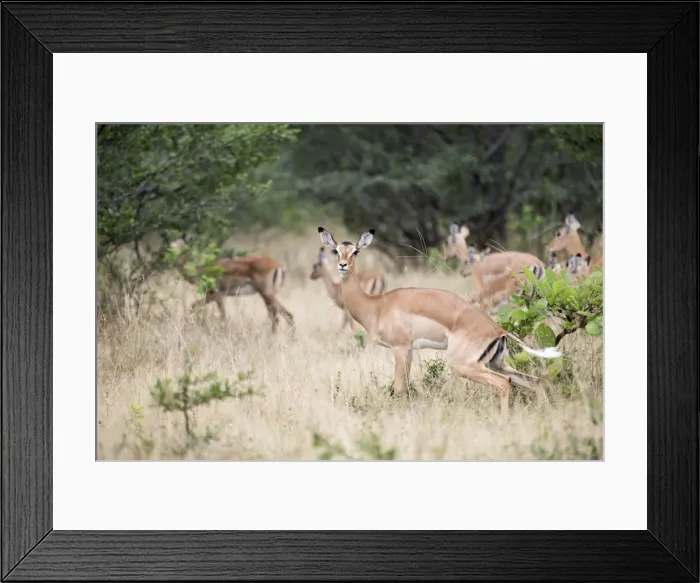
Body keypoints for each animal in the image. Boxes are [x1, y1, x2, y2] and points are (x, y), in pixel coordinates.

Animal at [318, 226, 561, 420]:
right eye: (336, 250)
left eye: (355, 251)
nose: (342, 265)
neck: (377, 305)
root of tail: (497, 329)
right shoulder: (409, 351)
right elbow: (405, 387)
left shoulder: (400, 348)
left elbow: (399, 389)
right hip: (496, 363)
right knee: (535, 381)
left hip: (464, 365)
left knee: (504, 383)